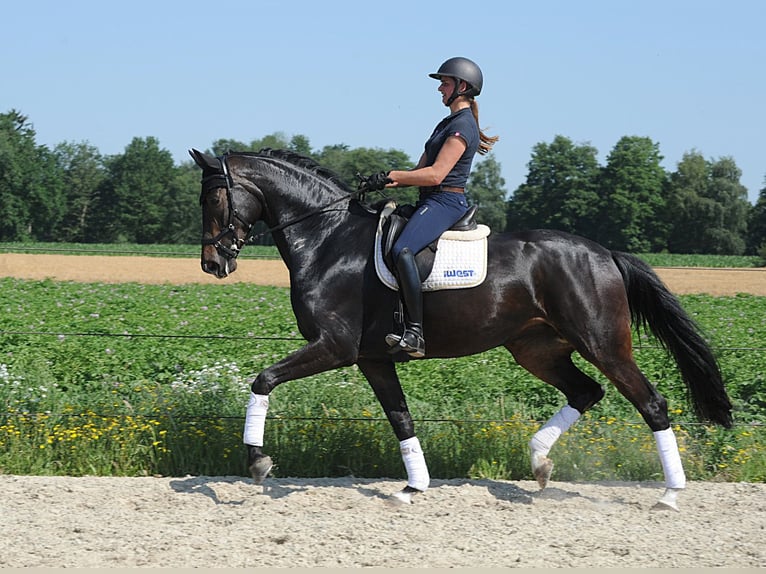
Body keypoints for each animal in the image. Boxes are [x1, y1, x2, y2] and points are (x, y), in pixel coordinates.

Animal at [189, 146, 736, 510]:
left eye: (213, 199)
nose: (213, 264)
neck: (327, 239)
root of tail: (604, 253)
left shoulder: (335, 347)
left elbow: (262, 381)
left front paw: (257, 463)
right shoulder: (373, 358)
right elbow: (401, 419)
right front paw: (413, 486)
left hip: (603, 343)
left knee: (651, 403)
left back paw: (670, 494)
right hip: (536, 349)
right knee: (586, 391)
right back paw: (539, 463)